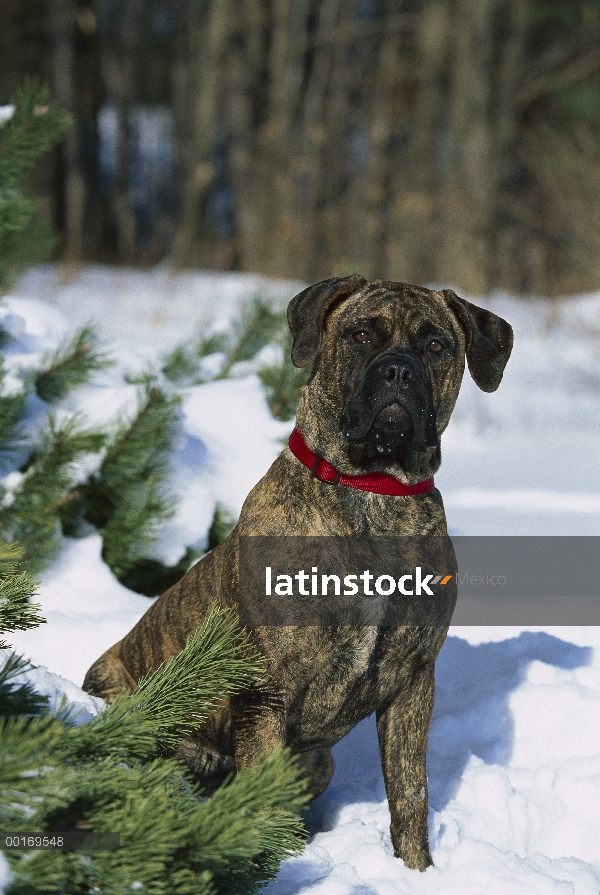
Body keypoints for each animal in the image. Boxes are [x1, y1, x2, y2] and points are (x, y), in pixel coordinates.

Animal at [84, 276, 512, 872]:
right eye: (360, 335)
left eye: (435, 346)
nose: (398, 371)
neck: (373, 493)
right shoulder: (266, 690)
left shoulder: (413, 681)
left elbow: (411, 795)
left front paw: (416, 871)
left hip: (317, 761)